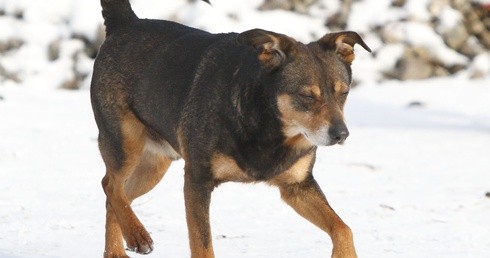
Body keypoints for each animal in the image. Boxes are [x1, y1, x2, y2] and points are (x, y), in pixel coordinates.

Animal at [90, 0, 370, 258]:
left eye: (344, 93)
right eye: (307, 96)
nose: (341, 134)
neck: (266, 123)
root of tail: (125, 23)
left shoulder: (297, 186)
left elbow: (343, 228)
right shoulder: (197, 180)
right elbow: (202, 245)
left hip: (155, 164)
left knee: (117, 195)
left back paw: (118, 248)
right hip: (124, 142)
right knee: (111, 185)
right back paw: (136, 235)